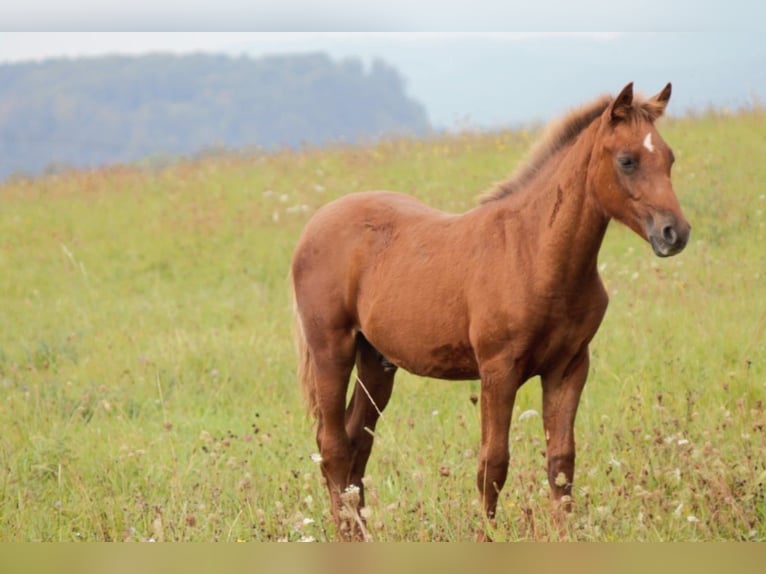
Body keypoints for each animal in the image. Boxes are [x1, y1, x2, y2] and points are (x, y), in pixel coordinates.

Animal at [290, 82, 690, 540]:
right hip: (332, 350)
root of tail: (316, 224)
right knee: (334, 445)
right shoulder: (498, 369)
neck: (535, 253)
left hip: (376, 362)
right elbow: (493, 463)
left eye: (669, 158)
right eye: (627, 160)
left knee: (358, 441)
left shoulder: (570, 367)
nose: (675, 233)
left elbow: (561, 462)